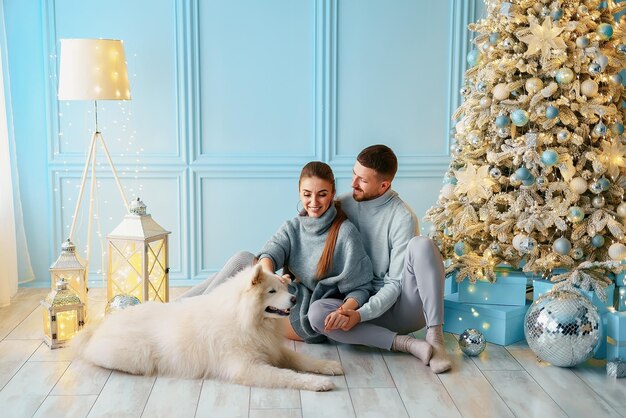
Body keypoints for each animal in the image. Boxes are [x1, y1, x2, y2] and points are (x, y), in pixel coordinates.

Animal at [72, 264, 342, 392]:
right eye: (272, 291)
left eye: (284, 288)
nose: (294, 300)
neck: (245, 319)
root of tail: (100, 326)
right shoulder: (248, 367)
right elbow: (288, 376)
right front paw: (318, 383)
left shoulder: (272, 348)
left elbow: (302, 360)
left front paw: (328, 366)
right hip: (136, 356)